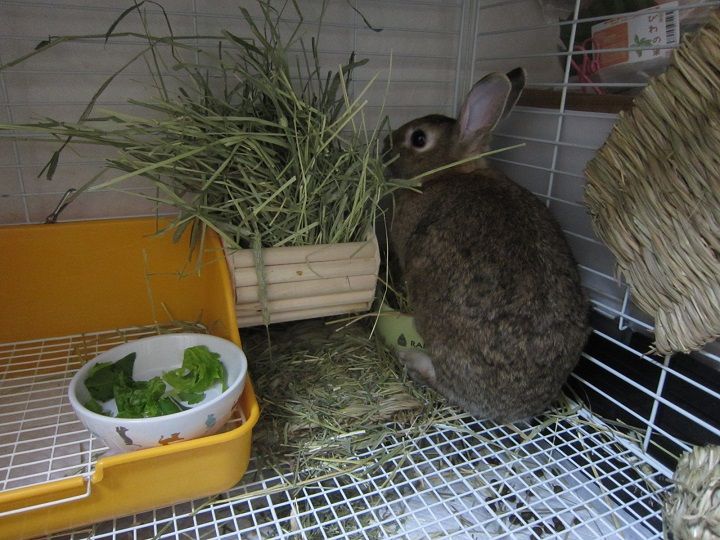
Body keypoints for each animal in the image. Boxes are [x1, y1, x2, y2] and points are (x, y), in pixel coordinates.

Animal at [384, 68, 589, 423]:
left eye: (418, 138)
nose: (385, 142)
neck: (448, 173)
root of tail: (516, 409)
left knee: (444, 383)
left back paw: (411, 359)